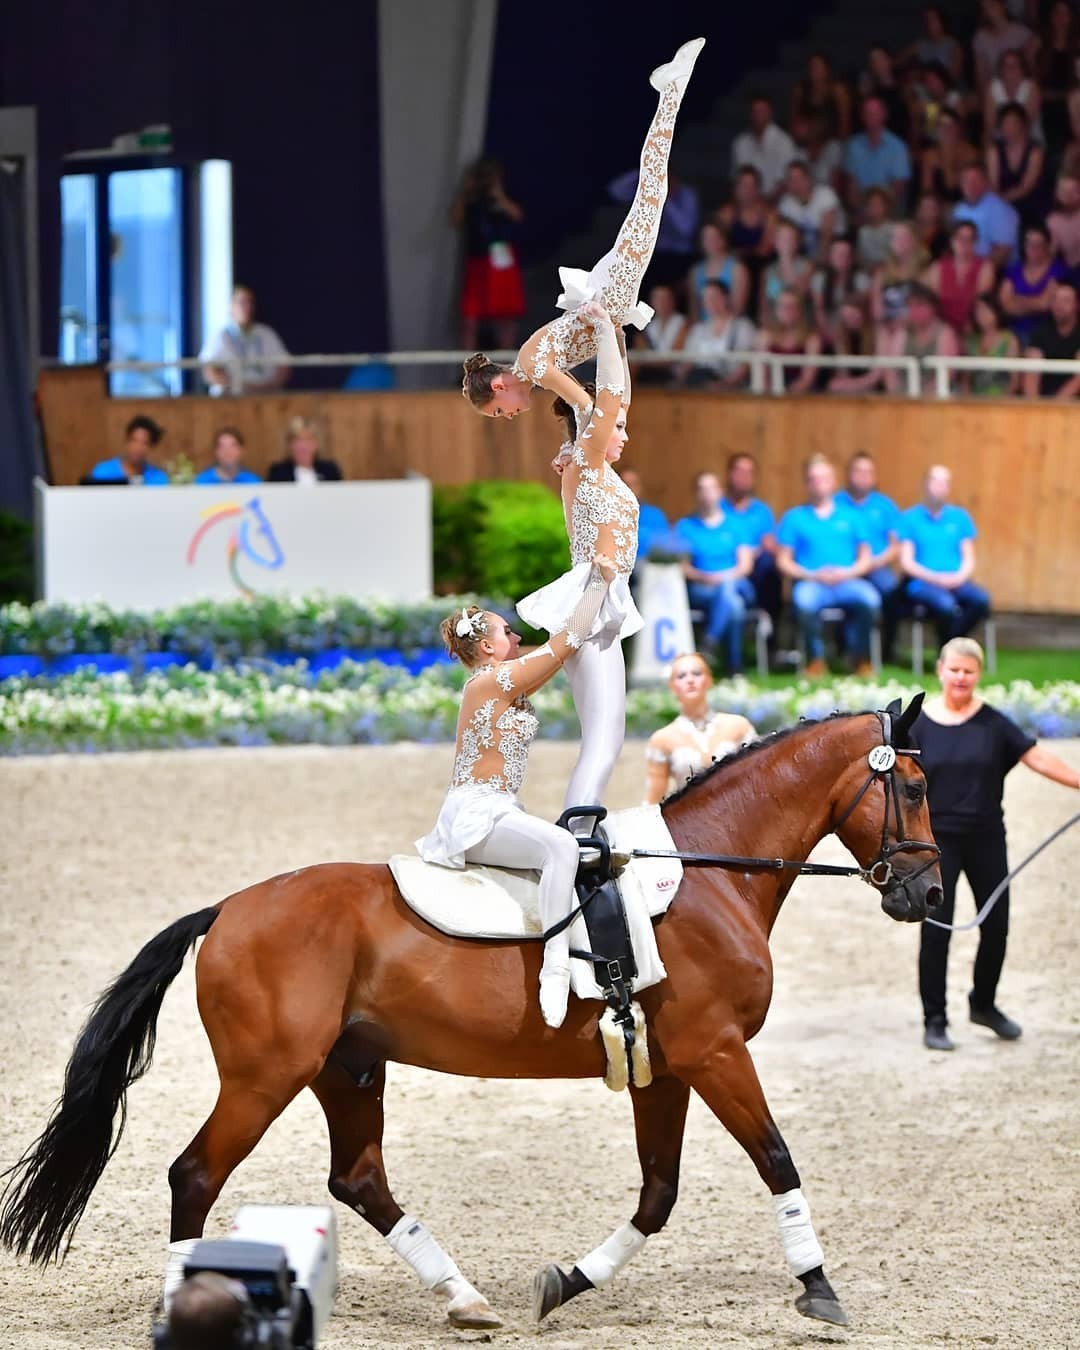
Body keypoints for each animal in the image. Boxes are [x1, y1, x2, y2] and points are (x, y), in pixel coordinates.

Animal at [0, 702, 939, 1333]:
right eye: (917, 785)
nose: (929, 894)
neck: (709, 877)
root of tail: (227, 908)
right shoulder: (716, 1053)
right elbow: (776, 1158)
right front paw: (819, 1288)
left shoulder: (665, 1066)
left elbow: (658, 1194)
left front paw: (565, 1282)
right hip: (267, 1076)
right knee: (195, 1175)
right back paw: (186, 1305)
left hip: (349, 1069)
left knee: (358, 1180)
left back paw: (464, 1298)